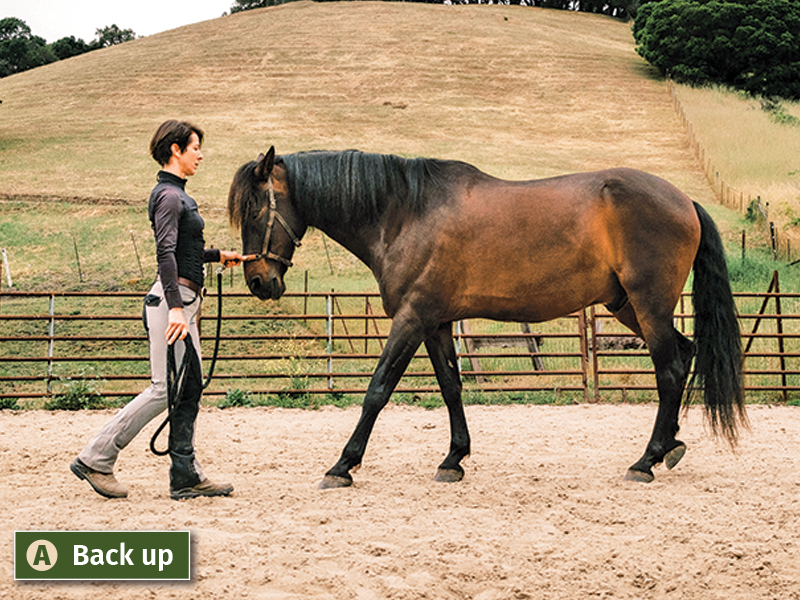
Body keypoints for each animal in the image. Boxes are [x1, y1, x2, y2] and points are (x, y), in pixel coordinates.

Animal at [227, 147, 747, 489]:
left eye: (253, 208)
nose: (258, 281)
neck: (405, 213)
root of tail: (684, 201)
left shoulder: (411, 319)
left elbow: (377, 390)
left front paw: (342, 465)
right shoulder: (436, 322)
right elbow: (451, 387)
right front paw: (454, 459)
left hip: (647, 305)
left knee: (670, 369)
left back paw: (646, 460)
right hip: (627, 307)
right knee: (684, 355)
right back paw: (670, 447)